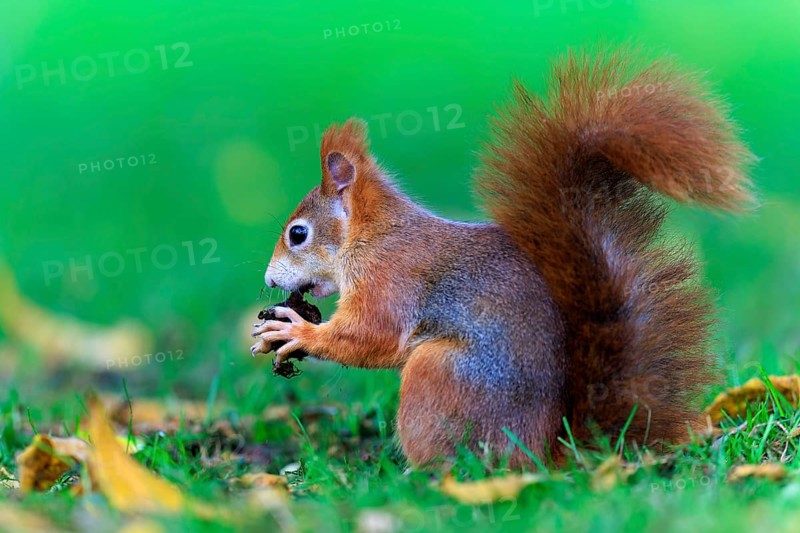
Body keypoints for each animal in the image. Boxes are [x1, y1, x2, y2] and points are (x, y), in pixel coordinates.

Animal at [251, 49, 754, 468]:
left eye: (298, 234)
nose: (270, 280)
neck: (372, 236)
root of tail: (541, 453)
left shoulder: (390, 278)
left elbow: (371, 335)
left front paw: (294, 331)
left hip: (439, 376)